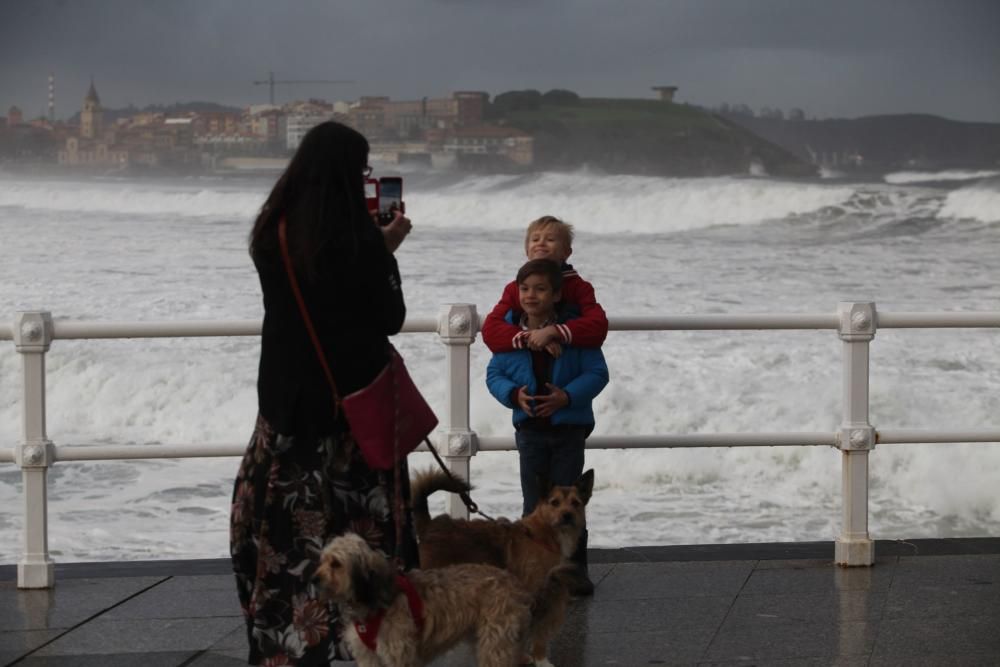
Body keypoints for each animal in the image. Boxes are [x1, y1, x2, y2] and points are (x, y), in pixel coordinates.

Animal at [408, 470, 588, 667]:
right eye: (554, 502)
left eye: (576, 503)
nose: (567, 515)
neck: (543, 535)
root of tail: (429, 526)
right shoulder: (529, 596)